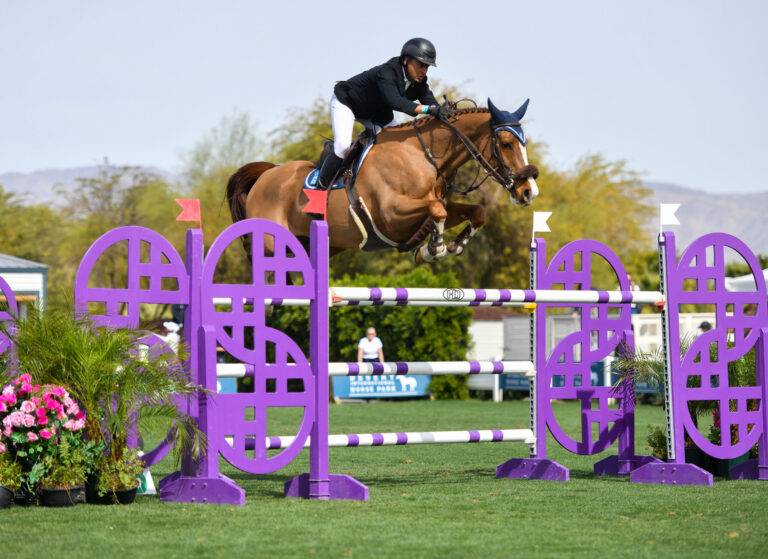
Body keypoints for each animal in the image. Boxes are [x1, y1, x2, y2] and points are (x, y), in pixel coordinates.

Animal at [226, 99, 540, 264]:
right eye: (506, 143)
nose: (529, 192)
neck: (424, 155)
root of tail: (266, 176)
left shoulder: (428, 210)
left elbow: (476, 211)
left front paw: (453, 246)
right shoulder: (391, 215)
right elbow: (436, 210)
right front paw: (434, 248)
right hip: (271, 247)